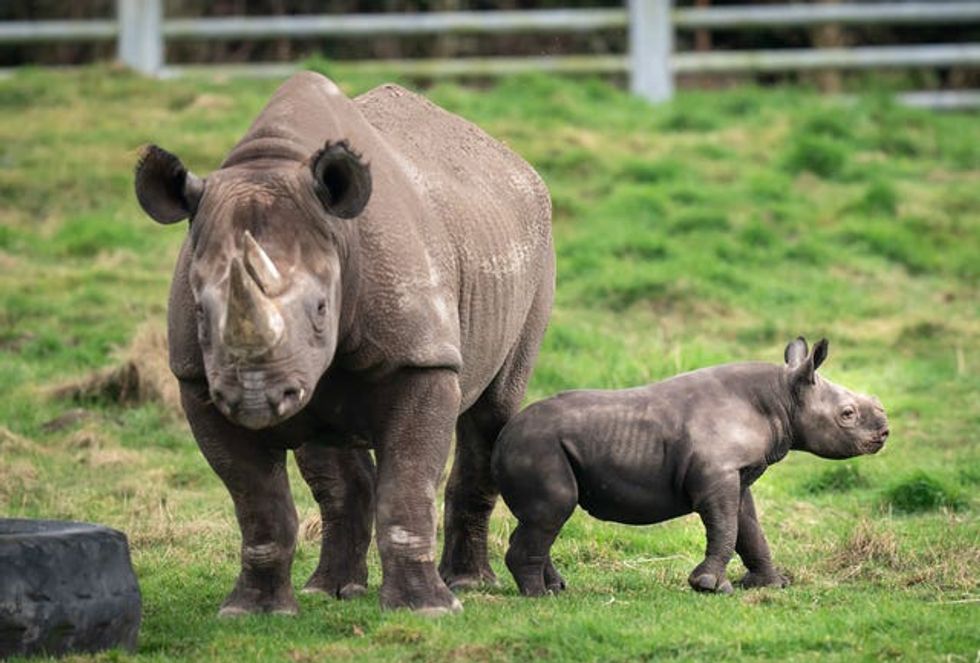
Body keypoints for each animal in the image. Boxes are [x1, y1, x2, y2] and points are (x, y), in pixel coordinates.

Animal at [134, 72, 554, 615]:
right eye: (202, 312)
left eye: (319, 309)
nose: (256, 398)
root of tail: (512, 160)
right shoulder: (198, 379)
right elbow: (257, 504)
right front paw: (253, 612)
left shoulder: (423, 358)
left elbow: (408, 484)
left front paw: (427, 609)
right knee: (328, 447)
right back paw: (332, 590)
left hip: (531, 250)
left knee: (493, 411)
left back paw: (469, 585)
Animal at [492, 337, 889, 596]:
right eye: (847, 415)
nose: (885, 432)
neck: (782, 396)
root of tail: (502, 438)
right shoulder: (716, 474)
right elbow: (726, 527)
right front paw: (710, 586)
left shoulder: (737, 474)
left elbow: (749, 528)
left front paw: (771, 585)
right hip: (538, 446)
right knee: (553, 509)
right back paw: (539, 597)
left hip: (539, 445)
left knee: (544, 517)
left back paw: (556, 588)